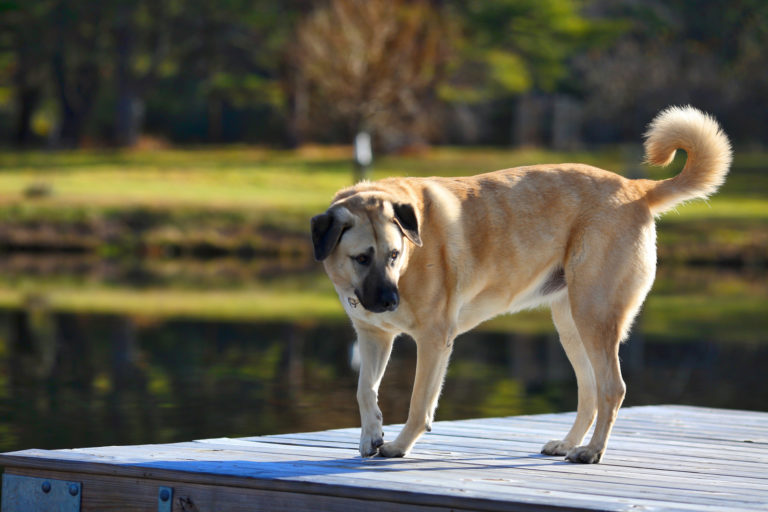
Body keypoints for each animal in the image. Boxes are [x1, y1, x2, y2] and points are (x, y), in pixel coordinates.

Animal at [310, 107, 732, 464]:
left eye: (394, 254)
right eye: (362, 258)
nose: (389, 301)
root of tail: (636, 188)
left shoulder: (433, 339)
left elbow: (419, 403)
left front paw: (398, 445)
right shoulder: (373, 336)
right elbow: (365, 389)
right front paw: (371, 435)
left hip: (594, 316)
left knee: (613, 388)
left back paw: (591, 451)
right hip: (571, 325)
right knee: (590, 391)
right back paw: (568, 443)